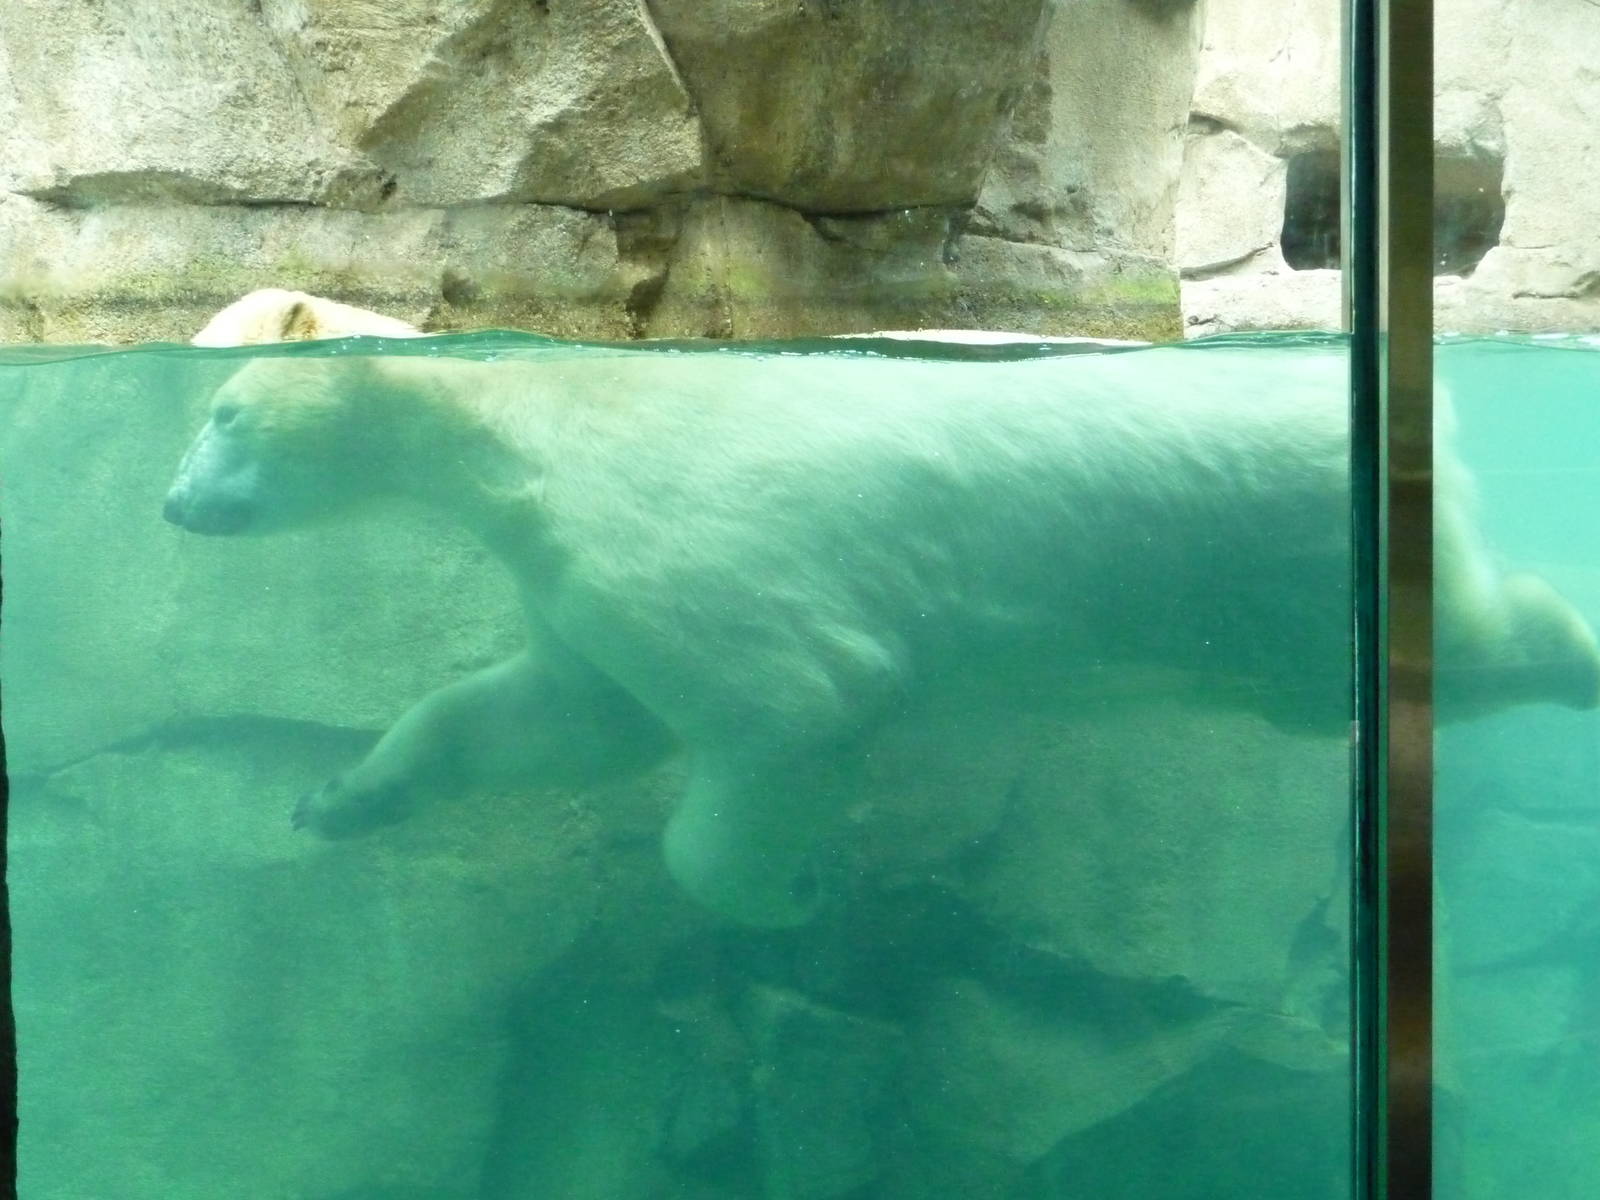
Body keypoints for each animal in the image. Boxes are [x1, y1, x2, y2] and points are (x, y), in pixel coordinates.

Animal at [162, 341, 1600, 927]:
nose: (173, 503)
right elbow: (562, 715)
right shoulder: (572, 571)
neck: (531, 422)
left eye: (222, 414)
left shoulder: (662, 532)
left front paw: (790, 888)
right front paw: (342, 796)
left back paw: (1577, 649)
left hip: (1278, 560)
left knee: (1477, 642)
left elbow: (790, 704)